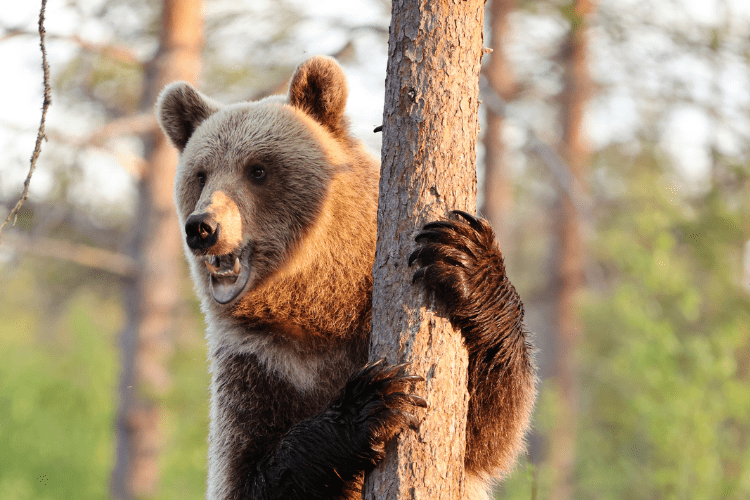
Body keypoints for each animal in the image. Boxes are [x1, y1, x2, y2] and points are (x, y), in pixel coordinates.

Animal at [156, 55, 536, 500]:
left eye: (258, 170)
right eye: (201, 174)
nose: (202, 227)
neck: (320, 306)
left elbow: (488, 429)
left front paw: (461, 253)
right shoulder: (258, 366)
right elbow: (248, 475)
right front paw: (376, 400)